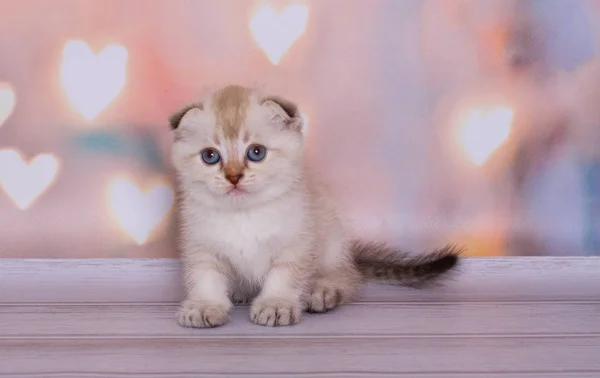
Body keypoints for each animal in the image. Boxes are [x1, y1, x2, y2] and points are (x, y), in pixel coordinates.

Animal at [169, 85, 460, 328]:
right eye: (210, 156)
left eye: (256, 152)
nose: (233, 177)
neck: (244, 215)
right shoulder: (202, 247)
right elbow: (205, 279)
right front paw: (204, 306)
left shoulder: (296, 242)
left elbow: (283, 277)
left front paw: (276, 304)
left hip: (333, 243)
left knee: (346, 278)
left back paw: (322, 292)